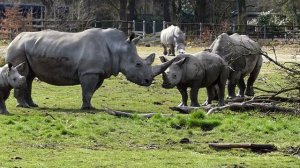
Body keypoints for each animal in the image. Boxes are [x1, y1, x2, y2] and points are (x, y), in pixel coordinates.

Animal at [5, 28, 173, 109]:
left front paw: (89, 106)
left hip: (26, 48)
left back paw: (32, 105)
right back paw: (24, 106)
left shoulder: (98, 72)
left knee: (29, 77)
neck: (118, 48)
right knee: (23, 73)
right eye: (138, 64)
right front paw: (87, 108)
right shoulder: (90, 72)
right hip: (18, 49)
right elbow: (87, 90)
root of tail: (13, 39)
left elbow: (91, 91)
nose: (148, 81)